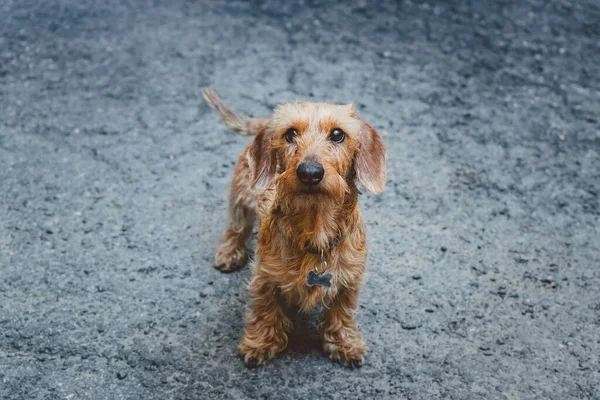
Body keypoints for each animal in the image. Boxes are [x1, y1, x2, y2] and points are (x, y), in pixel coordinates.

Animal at [204, 88, 386, 368]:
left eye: (338, 134)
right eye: (290, 133)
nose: (310, 172)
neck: (315, 228)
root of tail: (266, 122)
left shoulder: (351, 278)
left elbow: (342, 310)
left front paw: (344, 343)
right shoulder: (264, 275)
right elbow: (264, 308)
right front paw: (261, 343)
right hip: (241, 196)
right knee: (236, 227)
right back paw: (229, 252)